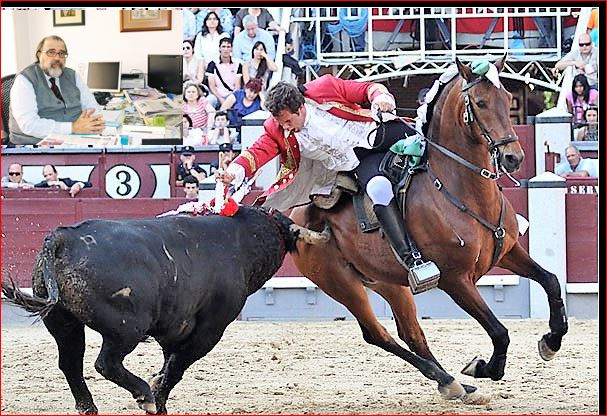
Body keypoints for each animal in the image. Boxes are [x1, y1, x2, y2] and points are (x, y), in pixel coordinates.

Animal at [2, 206, 330, 414]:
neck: (241, 242)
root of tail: (62, 237)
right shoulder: (210, 329)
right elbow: (176, 367)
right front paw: (156, 398)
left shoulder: (172, 328)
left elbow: (168, 364)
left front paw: (160, 403)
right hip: (126, 328)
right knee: (105, 363)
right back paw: (143, 395)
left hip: (63, 322)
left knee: (70, 363)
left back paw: (89, 407)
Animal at [290, 57, 568, 402]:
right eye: (480, 102)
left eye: (506, 99)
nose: (513, 157)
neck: (460, 187)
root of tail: (294, 215)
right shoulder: (455, 280)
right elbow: (499, 331)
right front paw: (483, 367)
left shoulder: (508, 251)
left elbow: (551, 281)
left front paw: (551, 342)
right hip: (341, 284)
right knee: (377, 334)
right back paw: (450, 380)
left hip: (388, 282)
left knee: (412, 333)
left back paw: (454, 384)